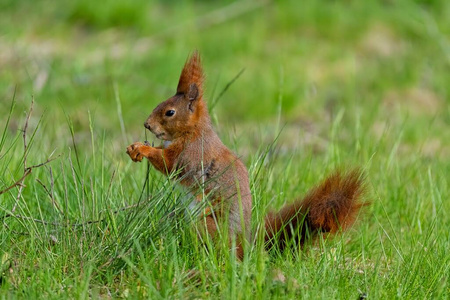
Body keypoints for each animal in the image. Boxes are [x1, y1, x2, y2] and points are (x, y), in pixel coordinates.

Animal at [126, 51, 366, 258]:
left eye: (170, 112)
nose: (147, 125)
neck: (192, 131)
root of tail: (245, 248)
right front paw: (137, 146)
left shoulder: (191, 155)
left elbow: (169, 164)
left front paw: (143, 149)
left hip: (209, 223)